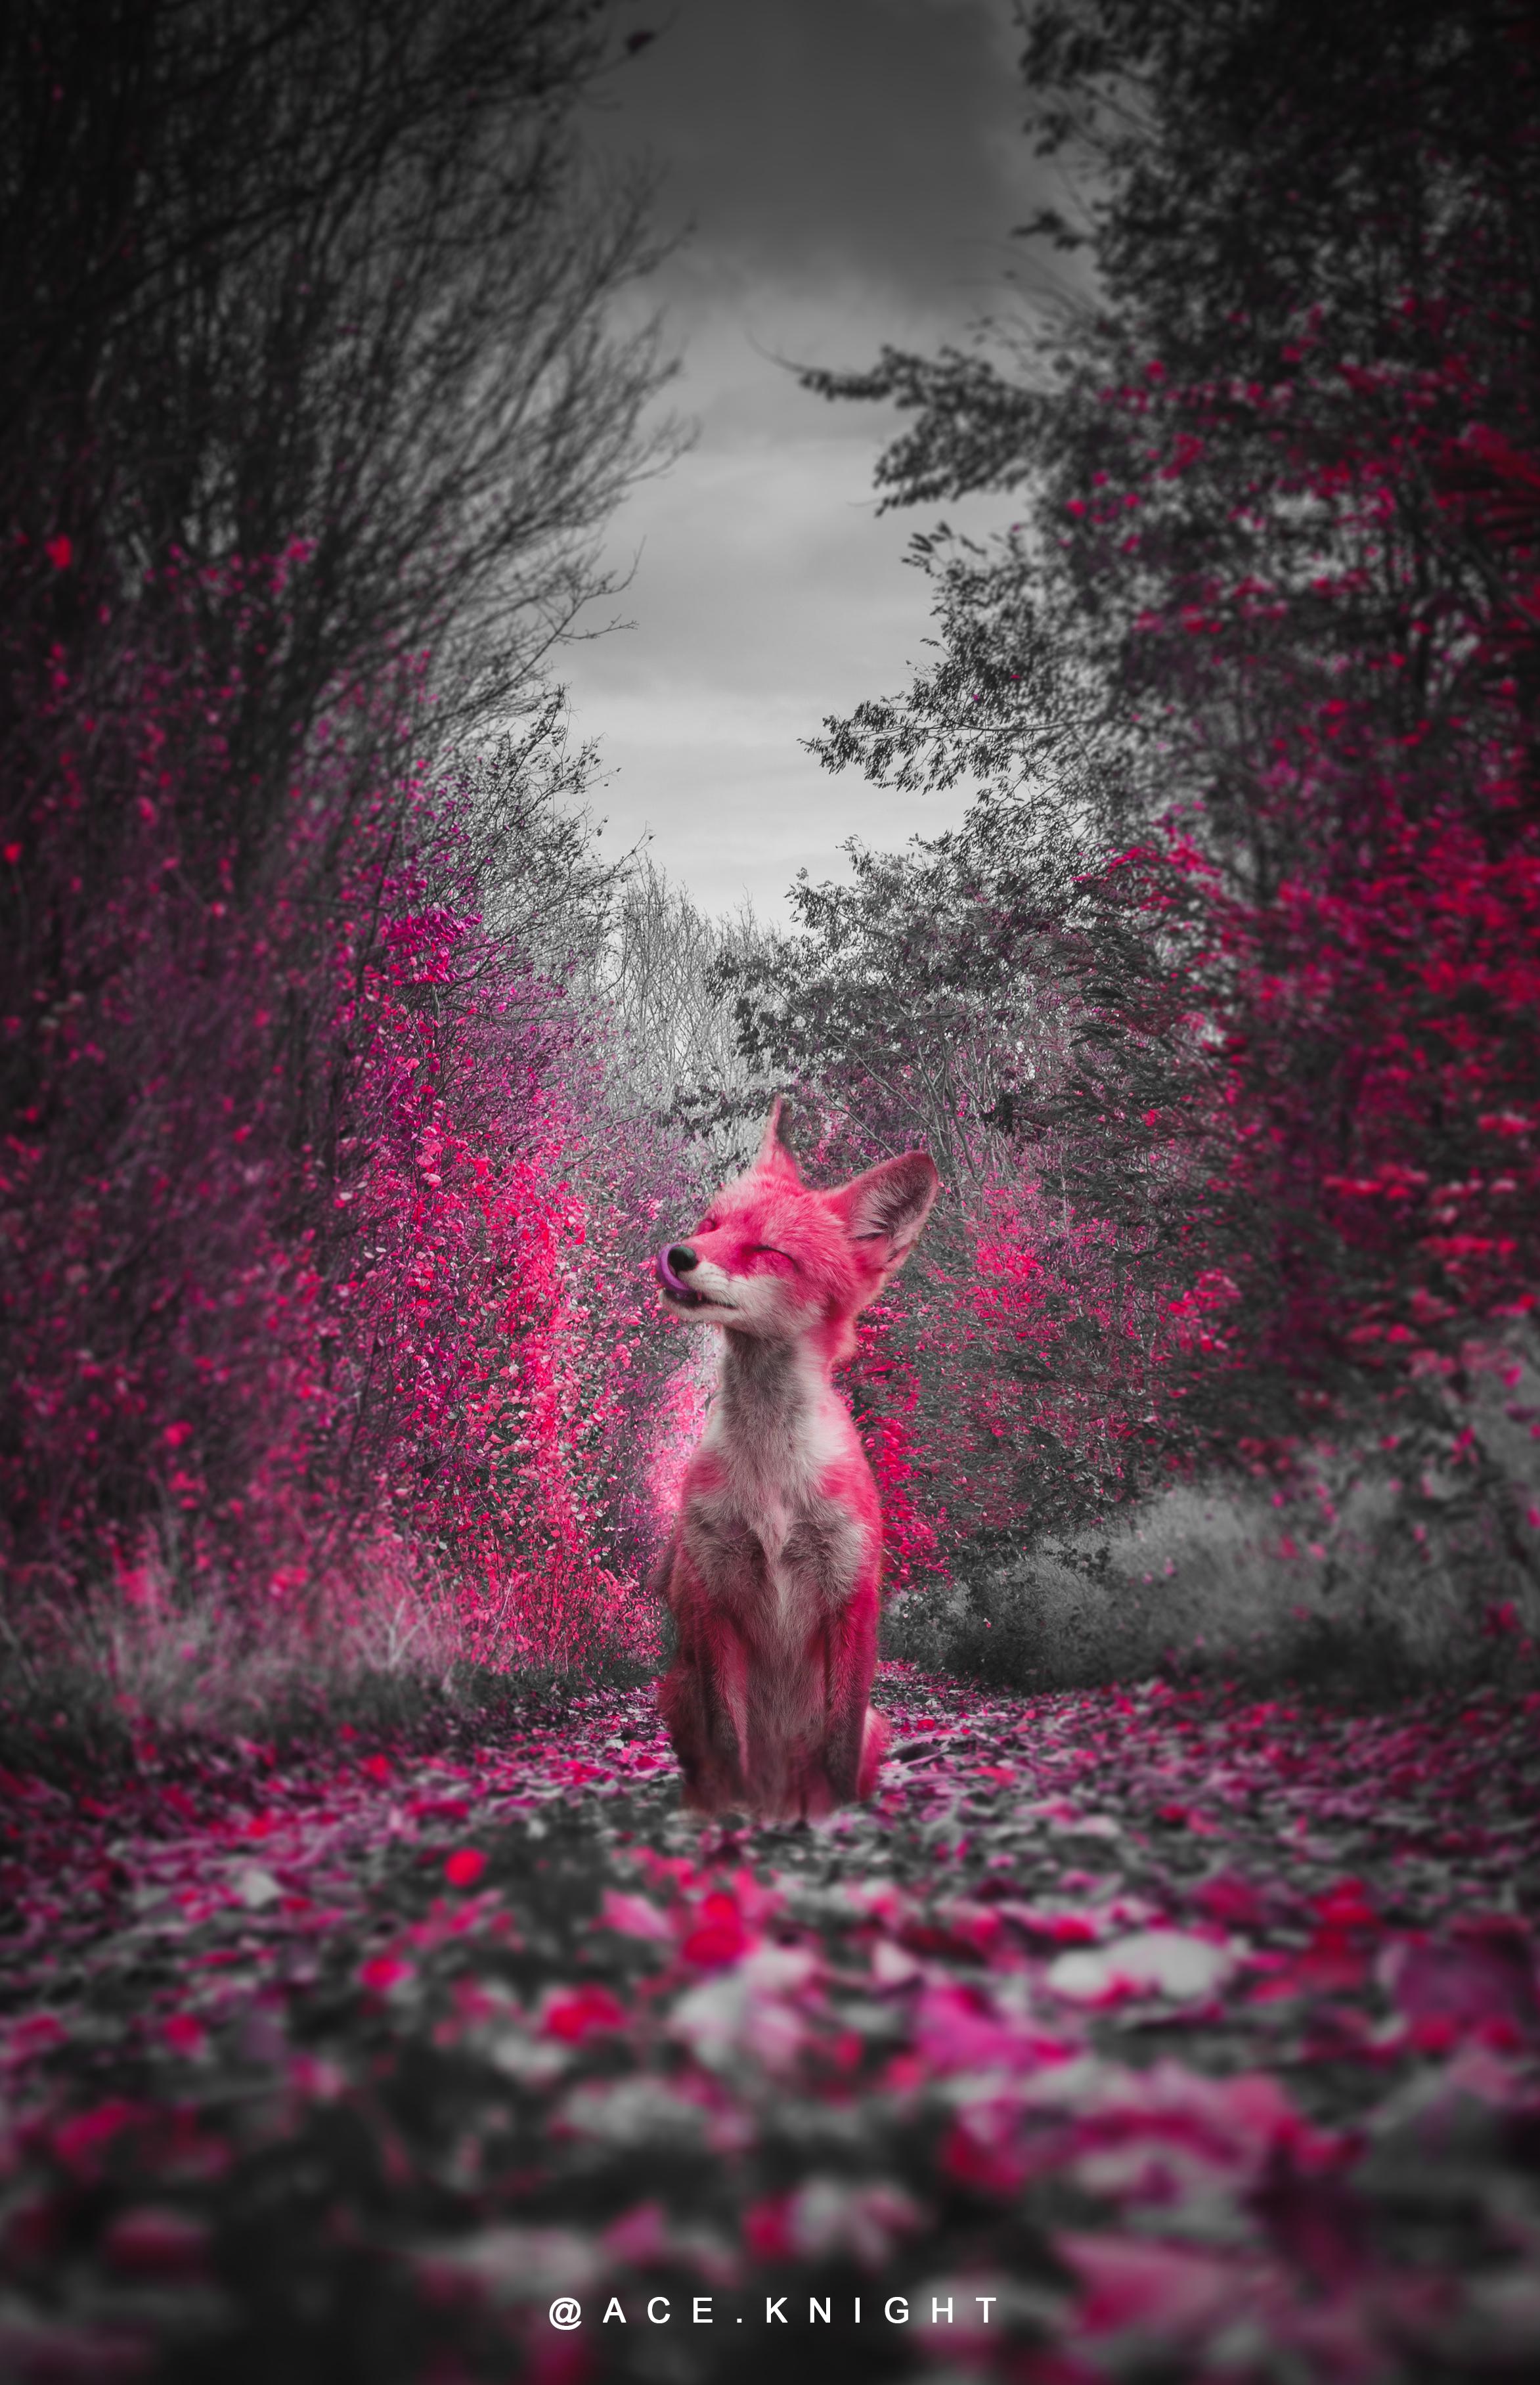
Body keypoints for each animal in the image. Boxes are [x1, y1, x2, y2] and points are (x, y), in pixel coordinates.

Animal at [652, 1098, 939, 1823]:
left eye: (768, 1251)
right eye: (712, 1225)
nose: (677, 1253)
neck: (770, 1483)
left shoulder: (850, 1590)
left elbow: (836, 1744)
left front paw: (836, 1816)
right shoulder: (711, 1594)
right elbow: (729, 1740)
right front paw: (734, 1812)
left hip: (875, 1720)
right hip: (674, 1692)